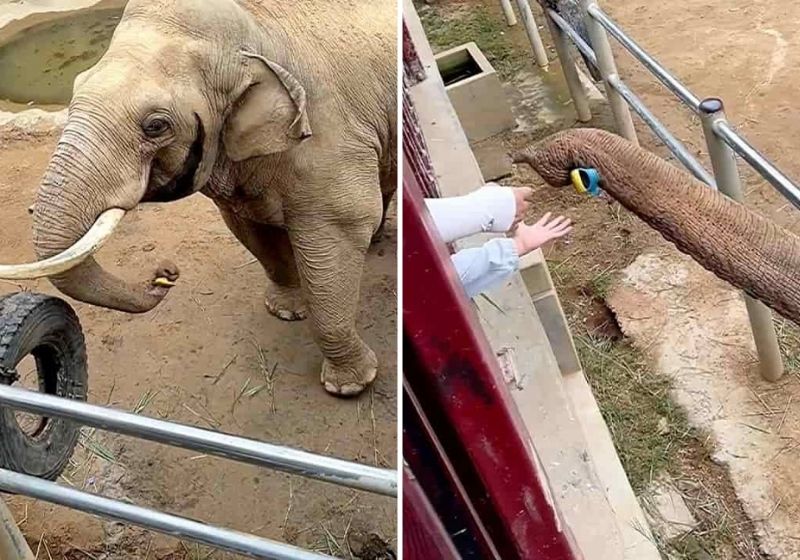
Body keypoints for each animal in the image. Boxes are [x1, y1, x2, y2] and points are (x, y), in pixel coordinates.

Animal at [0, 0, 397, 397]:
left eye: (155, 125)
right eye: (76, 87)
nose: (166, 274)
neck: (256, 30)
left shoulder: (331, 136)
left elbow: (337, 232)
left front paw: (349, 386)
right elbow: (251, 230)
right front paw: (286, 311)